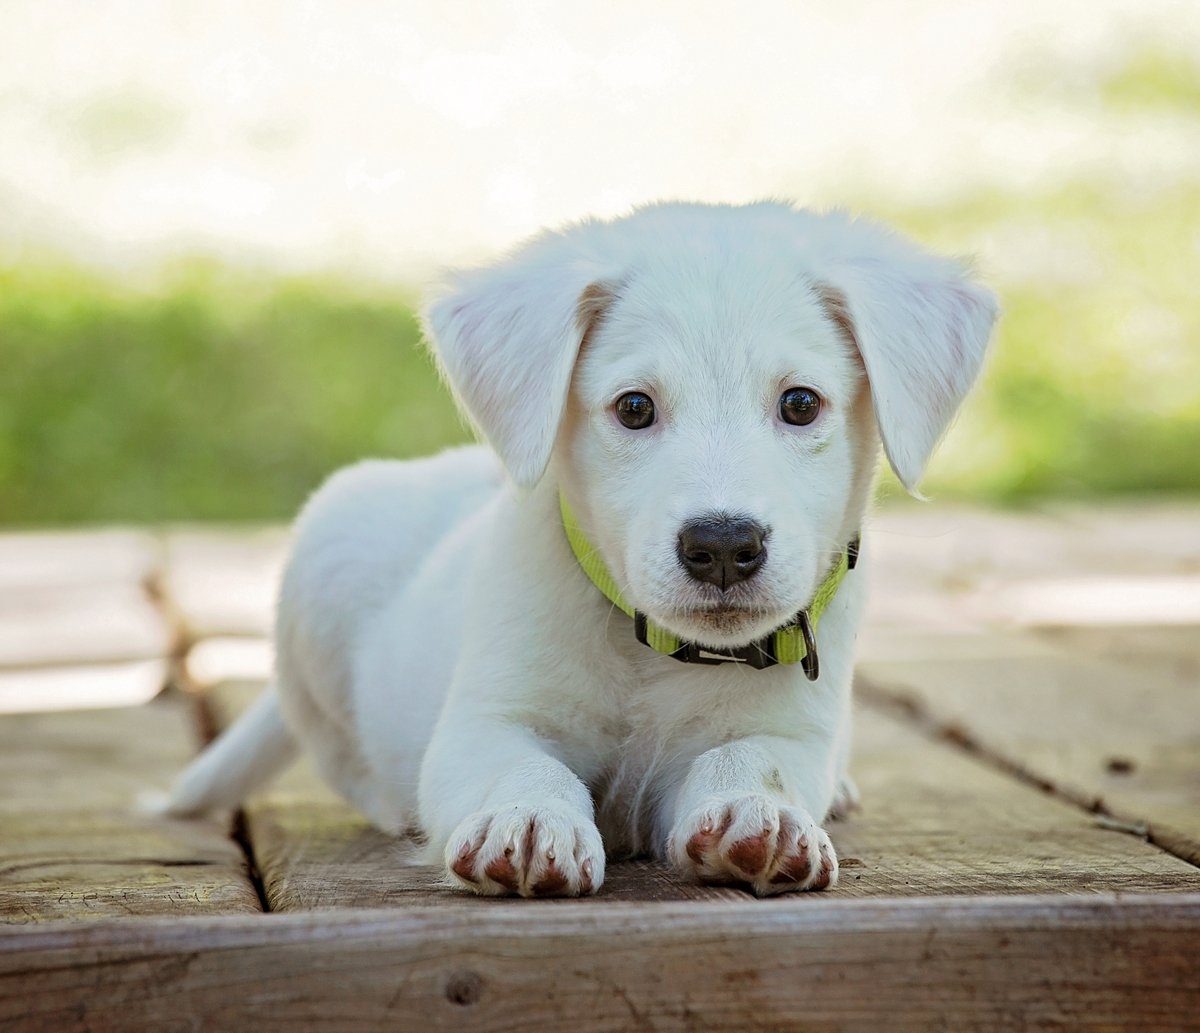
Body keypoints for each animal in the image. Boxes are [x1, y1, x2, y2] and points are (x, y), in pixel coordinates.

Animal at [166, 201, 993, 892]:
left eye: (800, 403)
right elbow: (524, 767)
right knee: (346, 760)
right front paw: (529, 820)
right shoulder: (486, 722)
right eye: (633, 408)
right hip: (324, 563)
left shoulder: (789, 730)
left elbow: (751, 759)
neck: (653, 654)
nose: (724, 545)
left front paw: (760, 815)